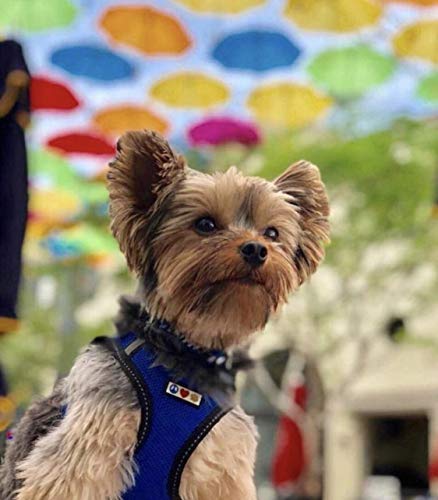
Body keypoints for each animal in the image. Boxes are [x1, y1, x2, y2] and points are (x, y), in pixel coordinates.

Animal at [0, 131, 328, 498]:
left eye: (271, 233)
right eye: (205, 224)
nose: (257, 249)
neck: (186, 349)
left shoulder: (223, 468)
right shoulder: (83, 453)